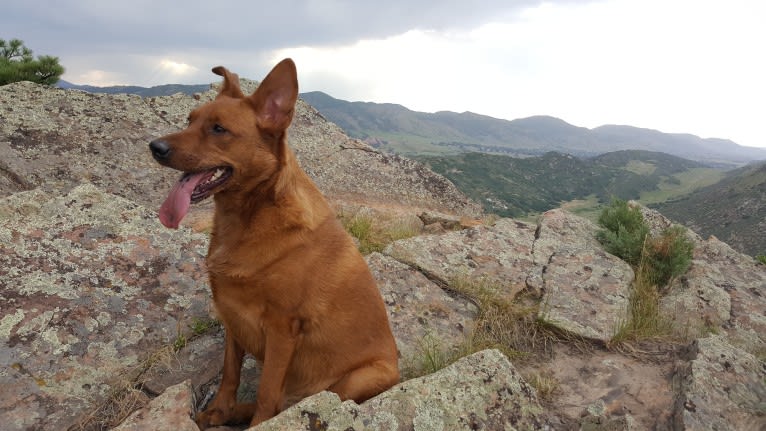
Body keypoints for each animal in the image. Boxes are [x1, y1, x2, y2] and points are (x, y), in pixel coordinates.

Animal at [151, 58, 402, 428]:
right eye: (190, 120)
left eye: (219, 129)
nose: (155, 147)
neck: (250, 217)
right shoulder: (232, 316)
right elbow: (230, 374)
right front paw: (220, 411)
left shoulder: (282, 329)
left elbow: (267, 393)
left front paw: (254, 422)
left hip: (359, 379)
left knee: (296, 401)